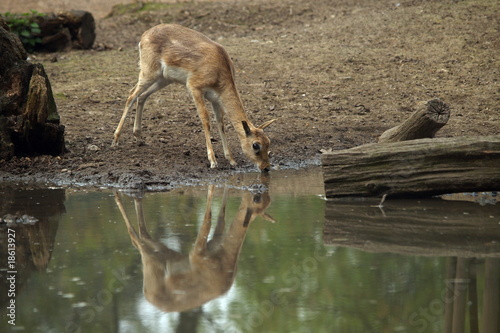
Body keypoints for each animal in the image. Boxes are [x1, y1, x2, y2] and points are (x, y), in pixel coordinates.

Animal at [112, 24, 278, 171]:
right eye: (255, 145)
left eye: (268, 142)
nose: (266, 167)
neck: (220, 69)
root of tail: (144, 35)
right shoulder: (195, 88)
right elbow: (205, 120)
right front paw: (213, 161)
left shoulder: (216, 99)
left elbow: (221, 123)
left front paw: (231, 160)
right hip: (148, 73)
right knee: (131, 95)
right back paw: (115, 140)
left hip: (162, 79)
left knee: (142, 97)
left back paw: (139, 137)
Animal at [114, 184, 274, 312]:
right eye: (257, 200)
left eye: (268, 200)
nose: (259, 187)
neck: (224, 261)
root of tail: (148, 295)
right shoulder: (197, 253)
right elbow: (208, 219)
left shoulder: (216, 239)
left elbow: (221, 214)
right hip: (152, 256)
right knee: (135, 237)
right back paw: (117, 196)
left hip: (158, 251)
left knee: (140, 234)